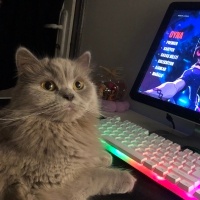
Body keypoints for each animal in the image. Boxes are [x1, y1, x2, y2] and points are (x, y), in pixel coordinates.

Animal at [0, 47, 136, 200]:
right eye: (48, 86)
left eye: (78, 85)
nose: (69, 96)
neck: (65, 130)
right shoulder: (56, 183)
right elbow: (97, 175)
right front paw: (126, 178)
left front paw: (104, 156)